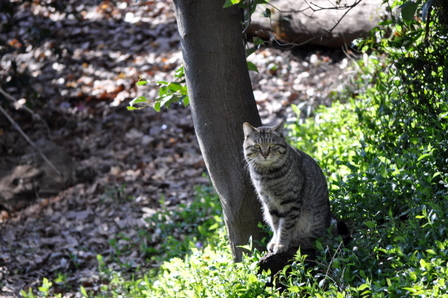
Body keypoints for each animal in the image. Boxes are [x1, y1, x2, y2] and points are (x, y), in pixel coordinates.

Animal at [243, 120, 330, 254]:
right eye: (257, 146)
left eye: (272, 145)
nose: (265, 154)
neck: (267, 175)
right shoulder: (269, 203)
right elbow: (276, 225)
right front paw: (274, 241)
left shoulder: (290, 203)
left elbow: (285, 227)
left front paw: (281, 244)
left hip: (314, 220)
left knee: (314, 240)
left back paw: (295, 241)